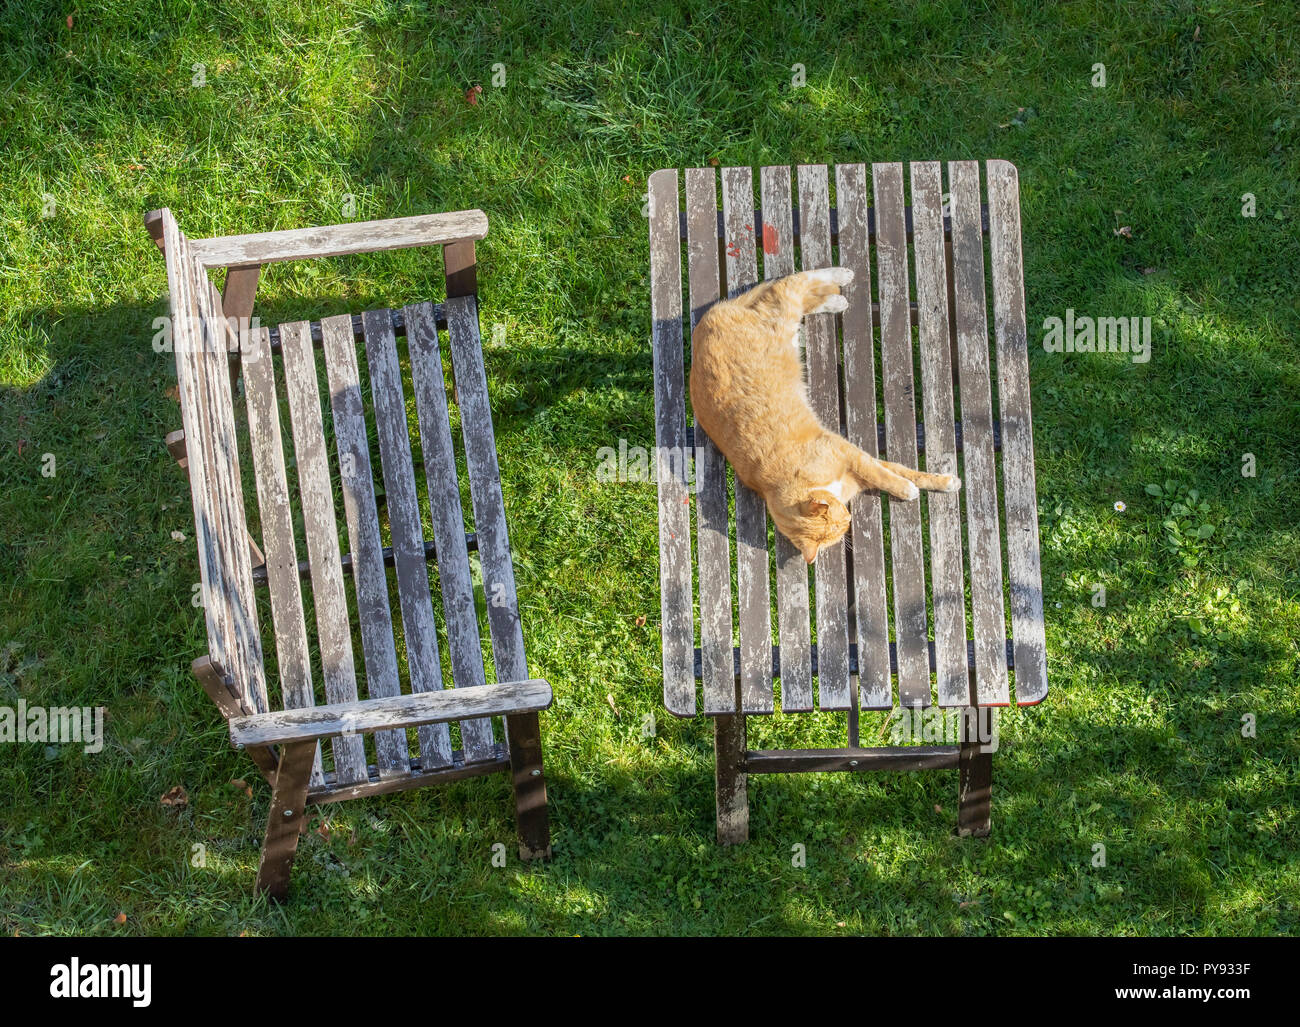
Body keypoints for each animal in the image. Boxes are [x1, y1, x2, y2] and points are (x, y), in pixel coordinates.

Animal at [691, 267, 956, 564]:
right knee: (798, 295)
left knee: (794, 281)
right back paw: (835, 300)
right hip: (786, 323)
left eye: (839, 520)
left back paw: (840, 277)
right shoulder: (854, 462)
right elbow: (893, 470)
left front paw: (929, 484)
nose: (849, 521)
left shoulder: (849, 453)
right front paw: (929, 484)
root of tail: (704, 325)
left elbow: (891, 473)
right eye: (838, 528)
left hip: (783, 311)